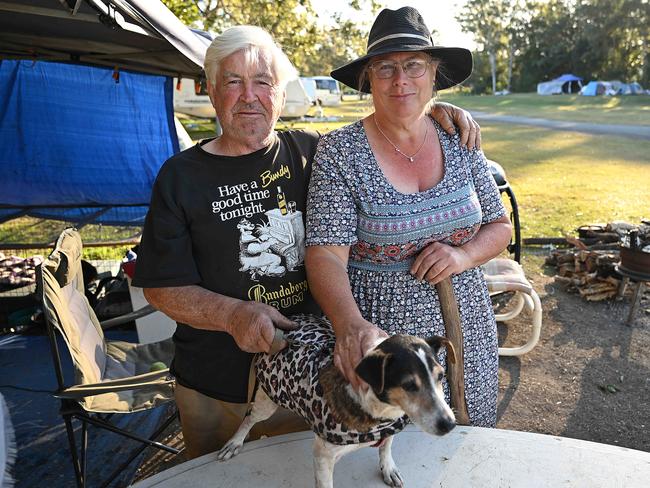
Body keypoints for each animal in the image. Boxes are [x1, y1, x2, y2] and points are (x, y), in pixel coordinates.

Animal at [218, 314, 456, 486]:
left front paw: (388, 468)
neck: (381, 412)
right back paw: (235, 442)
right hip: (267, 402)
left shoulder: (391, 426)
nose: (450, 424)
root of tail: (288, 327)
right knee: (249, 417)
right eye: (408, 385)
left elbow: (386, 445)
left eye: (441, 376)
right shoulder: (323, 458)